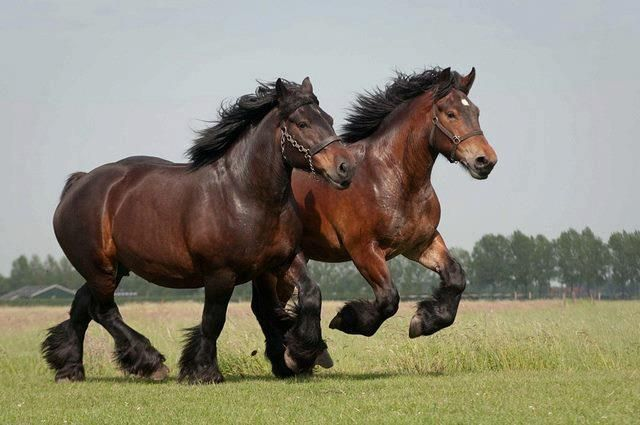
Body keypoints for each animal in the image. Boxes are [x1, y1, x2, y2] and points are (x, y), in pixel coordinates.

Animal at [42, 77, 358, 384]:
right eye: (302, 123)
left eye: (329, 119)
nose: (346, 167)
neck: (244, 194)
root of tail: (80, 183)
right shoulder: (220, 274)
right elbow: (213, 320)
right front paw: (204, 371)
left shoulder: (283, 261)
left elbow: (310, 294)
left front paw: (300, 353)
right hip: (100, 268)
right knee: (102, 310)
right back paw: (149, 362)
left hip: (115, 268)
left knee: (82, 305)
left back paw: (70, 369)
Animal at [262, 67, 498, 344]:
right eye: (450, 114)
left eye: (476, 112)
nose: (485, 161)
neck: (391, 178)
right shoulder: (364, 250)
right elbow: (389, 298)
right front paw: (346, 319)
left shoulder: (420, 243)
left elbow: (456, 277)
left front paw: (425, 321)